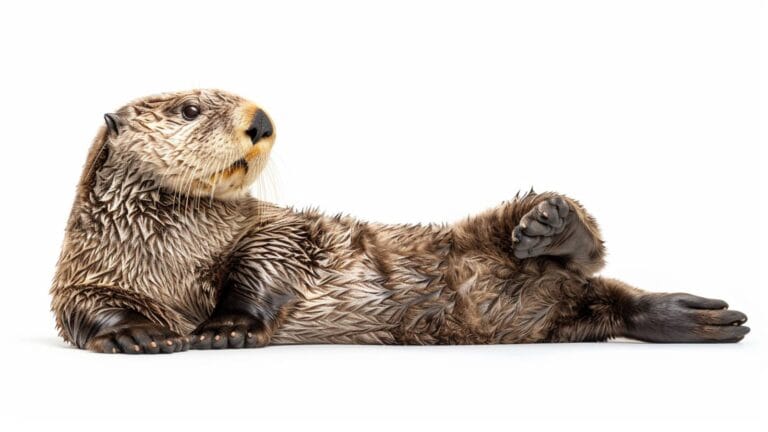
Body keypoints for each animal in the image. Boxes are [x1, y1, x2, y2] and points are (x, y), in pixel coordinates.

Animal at [49, 89, 752, 352]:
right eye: (191, 108)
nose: (260, 119)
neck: (172, 249)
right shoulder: (83, 270)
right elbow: (82, 306)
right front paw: (136, 333)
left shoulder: (270, 229)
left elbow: (268, 259)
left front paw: (225, 326)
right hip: (566, 319)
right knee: (605, 305)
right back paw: (690, 318)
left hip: (484, 233)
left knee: (579, 248)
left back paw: (550, 225)